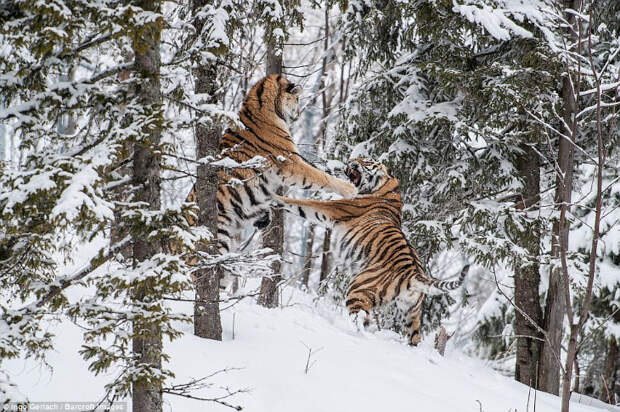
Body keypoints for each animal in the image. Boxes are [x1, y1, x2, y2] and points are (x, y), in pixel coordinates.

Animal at [274, 159, 468, 346]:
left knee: (361, 321)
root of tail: (414, 273)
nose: (350, 161)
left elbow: (302, 204)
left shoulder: (334, 208)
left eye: (366, 161)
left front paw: (273, 196)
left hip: (358, 290)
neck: (389, 189)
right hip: (411, 312)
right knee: (414, 337)